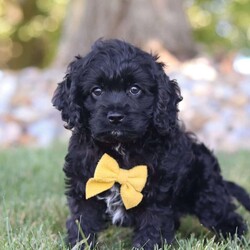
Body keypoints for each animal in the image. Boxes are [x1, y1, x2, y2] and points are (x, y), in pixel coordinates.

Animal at [51, 39, 249, 250]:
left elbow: (153, 225)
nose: (115, 117)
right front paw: (78, 244)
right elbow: (83, 222)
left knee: (227, 218)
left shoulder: (157, 194)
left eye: (135, 89)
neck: (120, 149)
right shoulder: (84, 186)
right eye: (97, 91)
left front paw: (147, 245)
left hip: (207, 194)